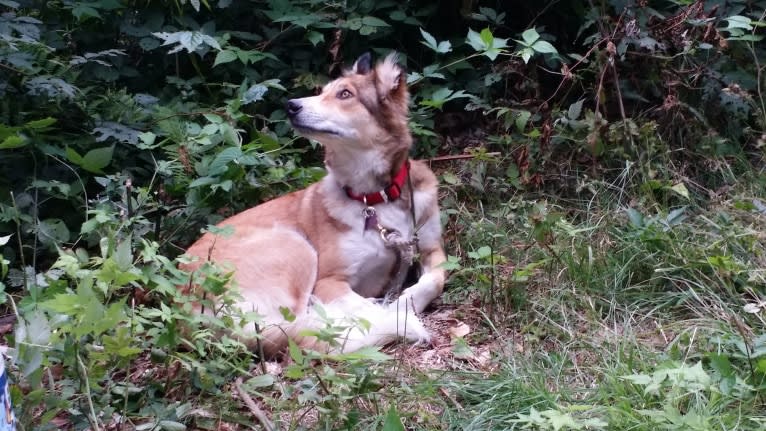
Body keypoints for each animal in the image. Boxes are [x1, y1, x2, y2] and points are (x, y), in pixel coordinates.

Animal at [183, 53, 448, 358]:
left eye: (345, 94)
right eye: (323, 92)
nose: (290, 105)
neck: (376, 198)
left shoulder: (429, 247)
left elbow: (437, 277)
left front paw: (406, 299)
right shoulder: (329, 281)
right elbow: (364, 307)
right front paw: (396, 310)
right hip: (294, 247)